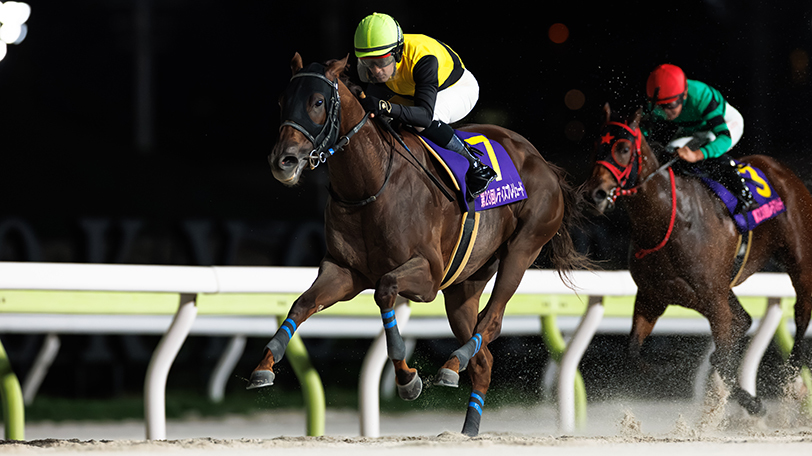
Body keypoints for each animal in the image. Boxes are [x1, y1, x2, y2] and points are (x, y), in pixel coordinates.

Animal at [247, 53, 590, 436]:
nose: (283, 161)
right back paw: (465, 416)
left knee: (492, 321)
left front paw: (407, 377)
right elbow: (302, 304)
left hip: (523, 248)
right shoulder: (344, 272)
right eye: (281, 101)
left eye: (318, 102)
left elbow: (385, 290)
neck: (369, 185)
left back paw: (455, 361)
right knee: (483, 359)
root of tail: (542, 161)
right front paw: (265, 363)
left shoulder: (427, 276)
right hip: (464, 283)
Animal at [583, 103, 812, 415]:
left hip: (799, 260)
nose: (595, 194)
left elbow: (724, 360)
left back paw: (793, 376)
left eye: (624, 148)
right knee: (744, 320)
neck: (670, 220)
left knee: (802, 311)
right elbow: (633, 352)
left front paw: (752, 403)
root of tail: (783, 171)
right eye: (597, 145)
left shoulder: (713, 299)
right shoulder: (653, 297)